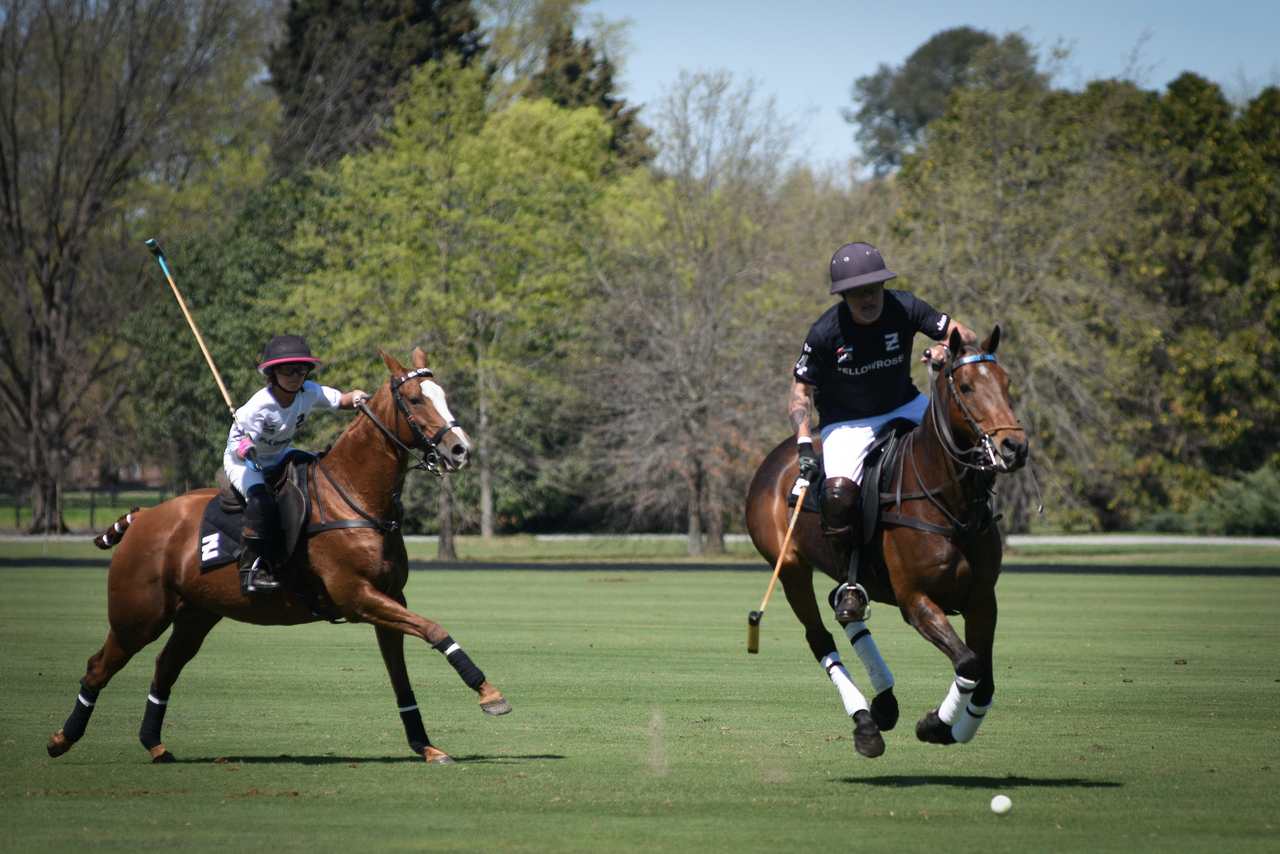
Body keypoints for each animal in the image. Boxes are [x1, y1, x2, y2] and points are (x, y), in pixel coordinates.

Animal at [49, 348, 509, 768]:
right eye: (414, 400)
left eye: (442, 395)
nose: (460, 450)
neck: (354, 495)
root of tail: (143, 516)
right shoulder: (357, 597)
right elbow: (434, 629)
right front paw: (490, 694)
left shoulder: (390, 598)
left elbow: (402, 676)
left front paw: (426, 746)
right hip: (139, 616)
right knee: (98, 666)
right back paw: (61, 739)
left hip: (195, 615)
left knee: (165, 667)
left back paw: (154, 746)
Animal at [742, 325, 1029, 752]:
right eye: (965, 386)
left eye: (1006, 382)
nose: (1015, 447)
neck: (952, 506)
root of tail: (779, 454)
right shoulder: (916, 601)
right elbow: (969, 662)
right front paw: (934, 724)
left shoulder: (982, 601)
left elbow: (984, 681)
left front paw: (951, 728)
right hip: (791, 567)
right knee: (820, 636)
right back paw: (865, 722)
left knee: (845, 608)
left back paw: (883, 702)